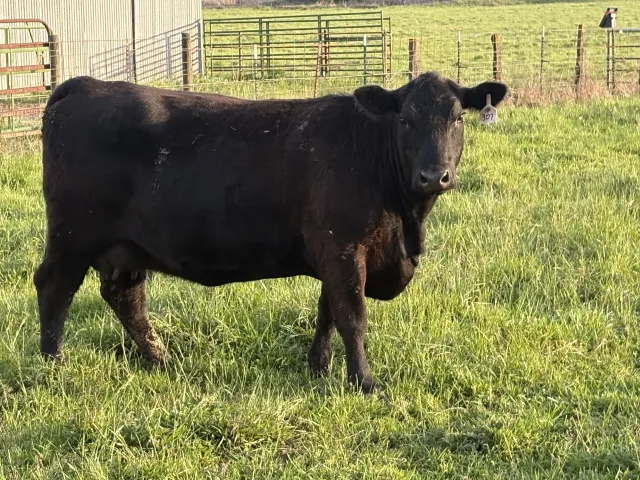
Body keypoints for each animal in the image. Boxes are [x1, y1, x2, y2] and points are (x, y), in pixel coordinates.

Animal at [34, 72, 507, 395]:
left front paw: (318, 366)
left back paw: (158, 357)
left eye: (458, 118)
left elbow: (327, 312)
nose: (434, 175)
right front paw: (365, 382)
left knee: (125, 296)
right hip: (73, 235)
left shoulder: (333, 253)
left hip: (126, 248)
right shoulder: (342, 248)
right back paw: (53, 363)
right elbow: (352, 317)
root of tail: (84, 85)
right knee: (54, 286)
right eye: (406, 120)